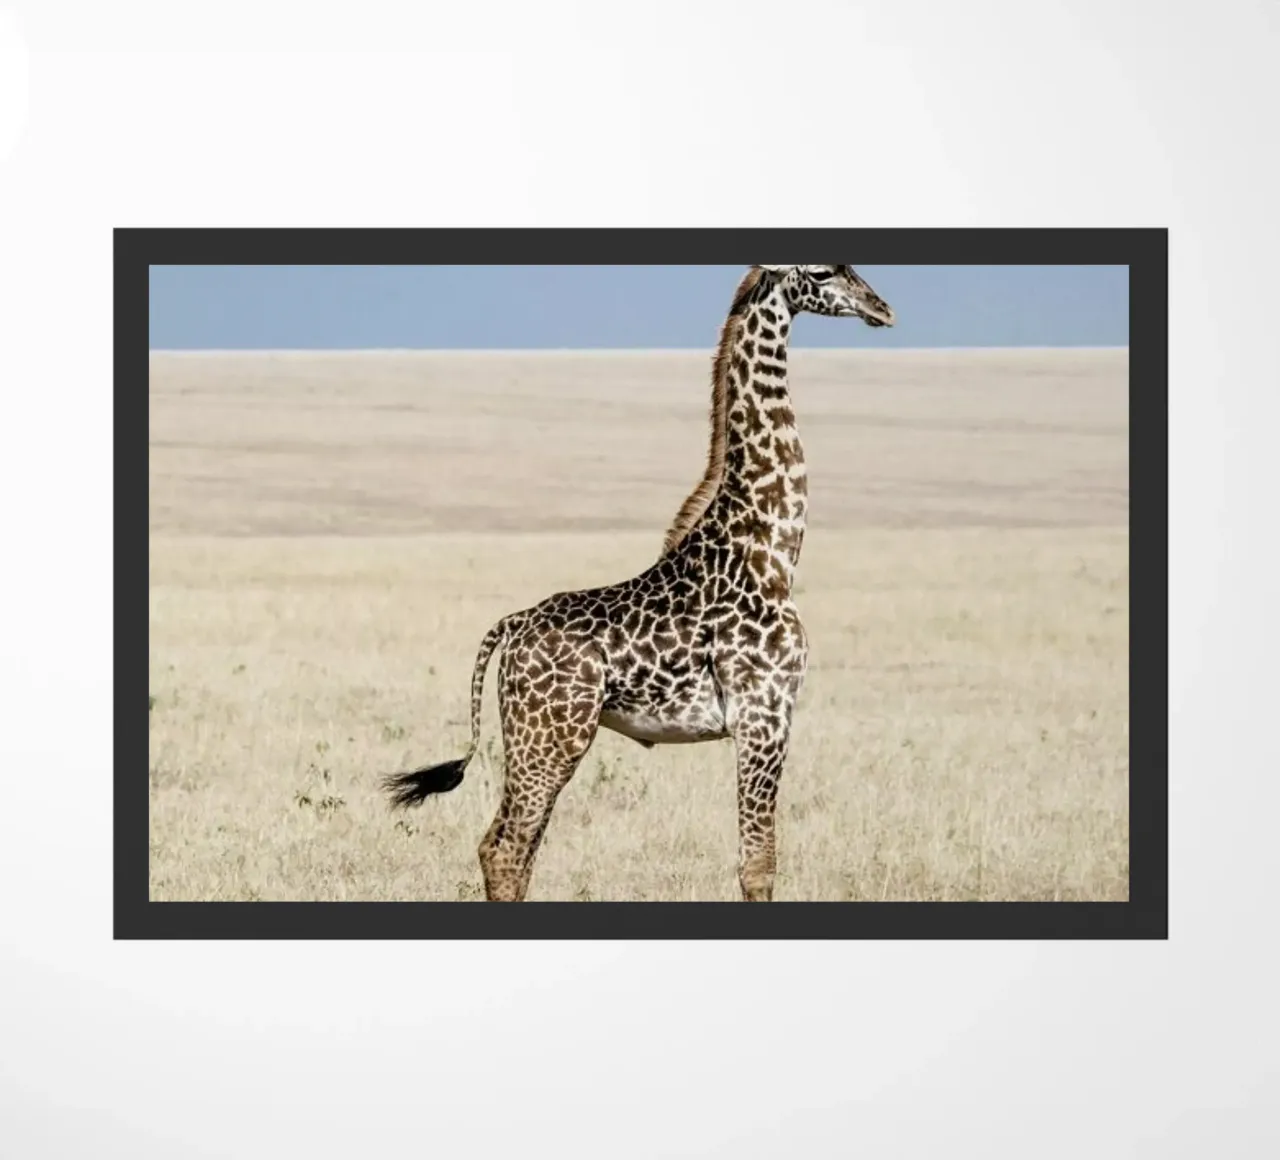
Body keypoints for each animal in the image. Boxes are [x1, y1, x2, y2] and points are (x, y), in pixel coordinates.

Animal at [383, 265, 896, 901]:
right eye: (824, 272)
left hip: (539, 739)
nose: (881, 309)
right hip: (550, 737)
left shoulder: (765, 717)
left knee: (509, 850)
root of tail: (512, 626)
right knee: (504, 850)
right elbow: (758, 864)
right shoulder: (764, 714)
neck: (771, 551)